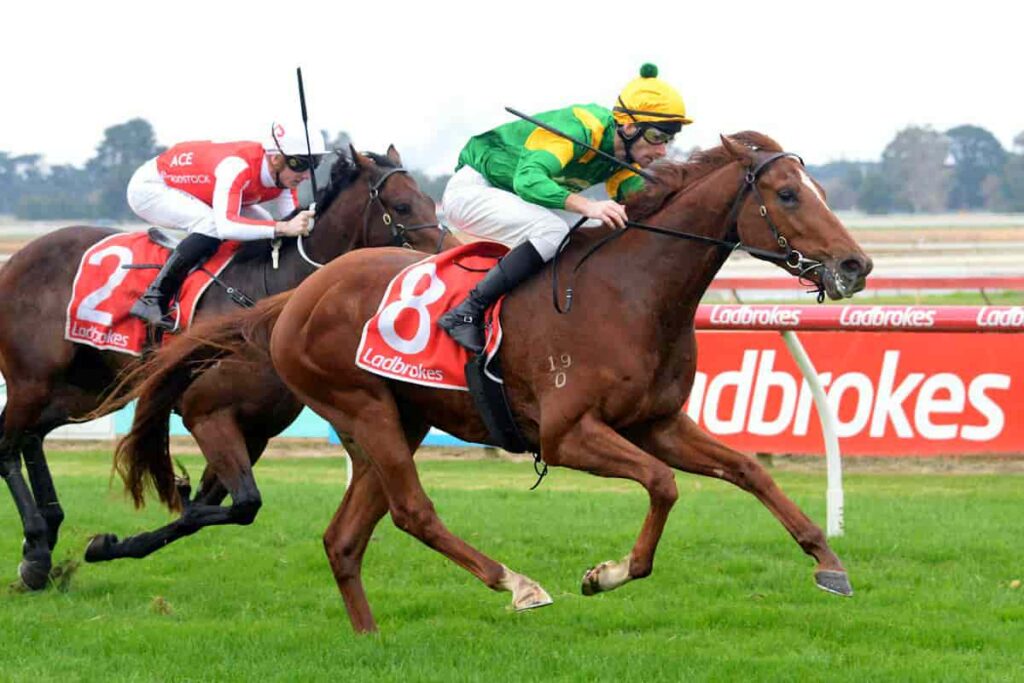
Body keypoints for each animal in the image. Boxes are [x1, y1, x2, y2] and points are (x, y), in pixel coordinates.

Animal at [0, 144, 448, 589]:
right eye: (402, 206)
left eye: (430, 200)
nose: (445, 262)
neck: (266, 299)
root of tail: (16, 258)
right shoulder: (208, 414)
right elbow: (245, 503)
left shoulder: (256, 430)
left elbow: (214, 511)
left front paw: (113, 543)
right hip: (32, 381)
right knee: (7, 446)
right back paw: (37, 546)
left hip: (87, 391)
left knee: (31, 437)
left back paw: (43, 539)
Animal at [116, 131, 872, 634]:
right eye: (785, 194)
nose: (856, 265)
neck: (631, 291)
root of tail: (300, 294)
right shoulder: (569, 434)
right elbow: (663, 485)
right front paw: (606, 574)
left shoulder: (656, 422)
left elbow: (750, 469)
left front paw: (828, 560)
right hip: (363, 408)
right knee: (413, 512)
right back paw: (516, 583)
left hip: (398, 416)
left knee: (345, 537)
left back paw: (370, 637)